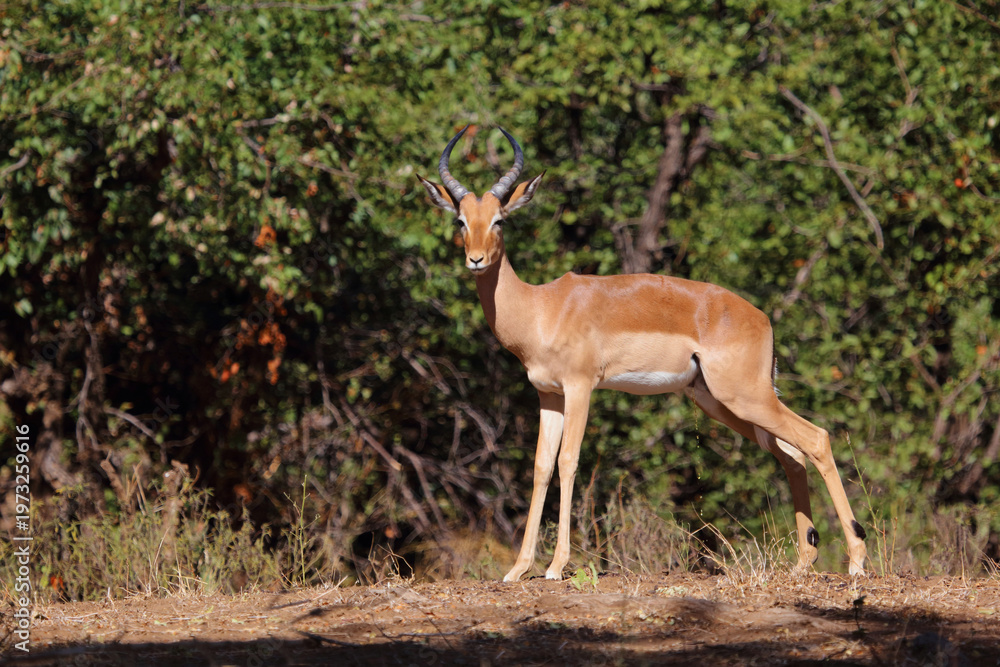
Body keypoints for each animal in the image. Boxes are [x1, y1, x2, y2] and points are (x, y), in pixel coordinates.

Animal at [418, 125, 867, 581]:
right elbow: (541, 467)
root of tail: (763, 319)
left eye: (500, 220)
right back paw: (804, 562)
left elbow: (568, 461)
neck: (541, 307)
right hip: (721, 402)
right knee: (792, 456)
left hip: (745, 396)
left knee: (816, 439)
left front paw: (557, 566)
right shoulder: (548, 394)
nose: (475, 260)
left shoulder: (580, 387)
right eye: (460, 220)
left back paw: (856, 560)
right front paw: (518, 569)